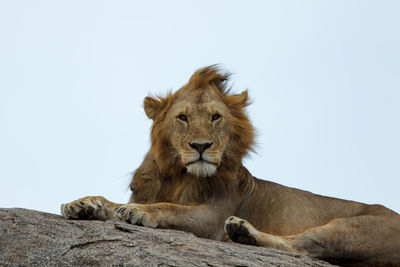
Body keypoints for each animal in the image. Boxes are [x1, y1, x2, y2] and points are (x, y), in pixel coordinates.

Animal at [61, 66, 400, 266]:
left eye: (215, 117)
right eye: (182, 117)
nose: (200, 147)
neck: (177, 175)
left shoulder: (211, 217)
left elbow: (168, 208)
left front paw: (138, 212)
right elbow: (110, 203)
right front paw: (84, 204)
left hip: (354, 228)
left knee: (302, 248)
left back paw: (242, 231)